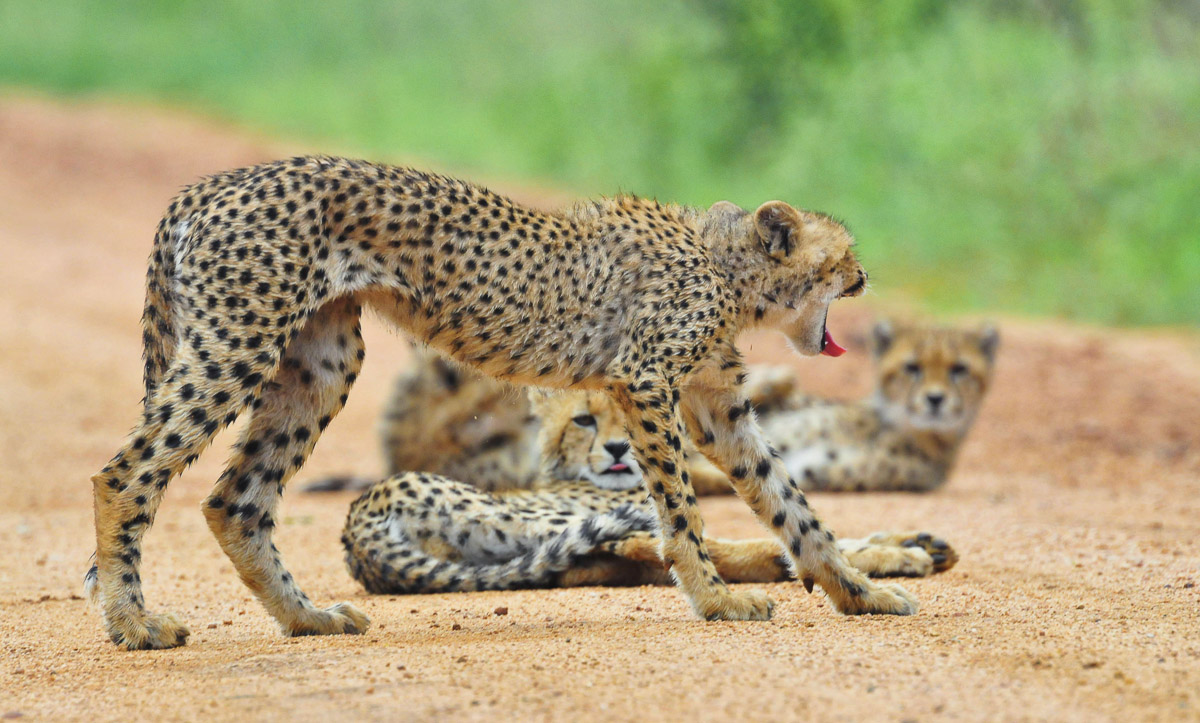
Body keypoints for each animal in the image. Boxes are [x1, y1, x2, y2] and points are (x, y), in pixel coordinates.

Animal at [85, 154, 914, 650]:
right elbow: (683, 510)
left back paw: (307, 616)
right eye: (842, 257)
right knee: (124, 475)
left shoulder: (715, 406)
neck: (727, 266)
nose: (866, 276)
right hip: (239, 343)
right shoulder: (645, 380)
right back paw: (134, 622)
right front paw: (714, 598)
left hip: (321, 360)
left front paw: (859, 589)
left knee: (236, 499)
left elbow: (789, 502)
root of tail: (211, 183)